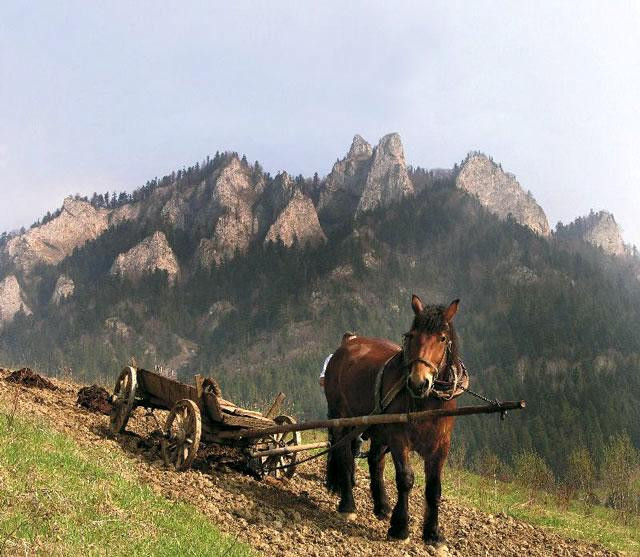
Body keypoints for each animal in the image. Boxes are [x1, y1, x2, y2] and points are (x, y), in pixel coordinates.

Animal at [324, 296, 460, 544]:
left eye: (442, 338)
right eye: (411, 335)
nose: (418, 382)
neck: (427, 401)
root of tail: (347, 344)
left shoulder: (440, 446)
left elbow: (434, 489)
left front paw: (433, 534)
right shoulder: (399, 438)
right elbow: (405, 479)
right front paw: (400, 527)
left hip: (378, 429)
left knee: (375, 460)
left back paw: (382, 506)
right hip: (342, 417)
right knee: (344, 453)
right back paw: (347, 505)